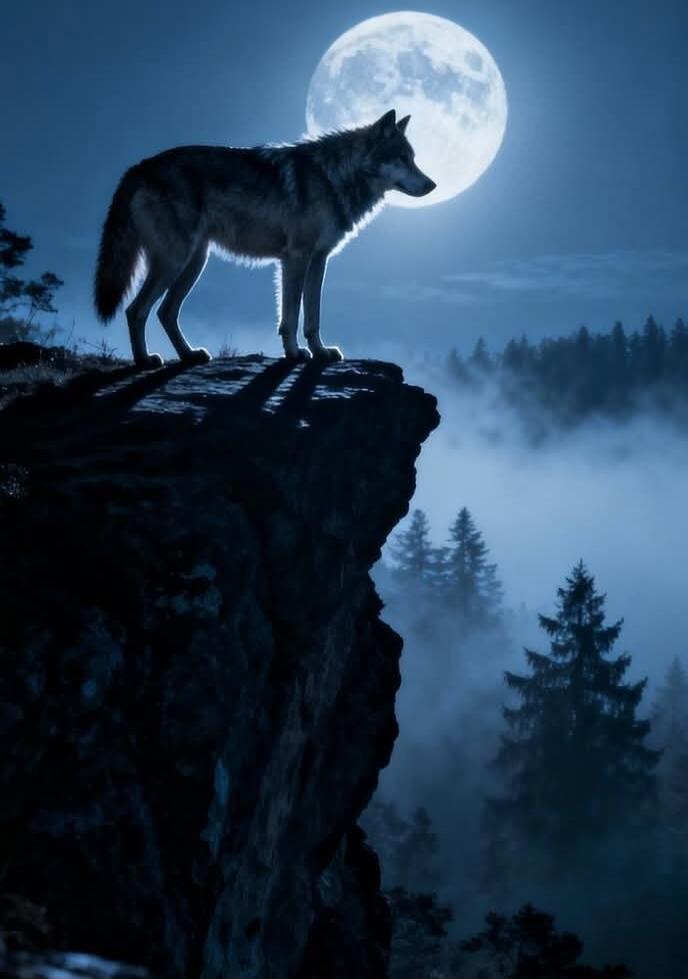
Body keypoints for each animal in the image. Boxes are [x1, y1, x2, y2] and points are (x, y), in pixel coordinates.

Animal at [94, 109, 435, 367]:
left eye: (414, 158)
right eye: (402, 159)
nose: (432, 184)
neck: (332, 176)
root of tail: (138, 167)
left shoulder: (318, 260)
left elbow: (312, 316)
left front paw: (320, 352)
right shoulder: (296, 258)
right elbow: (293, 315)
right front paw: (295, 354)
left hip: (195, 262)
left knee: (165, 312)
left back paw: (189, 355)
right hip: (176, 261)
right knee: (136, 310)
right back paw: (144, 361)